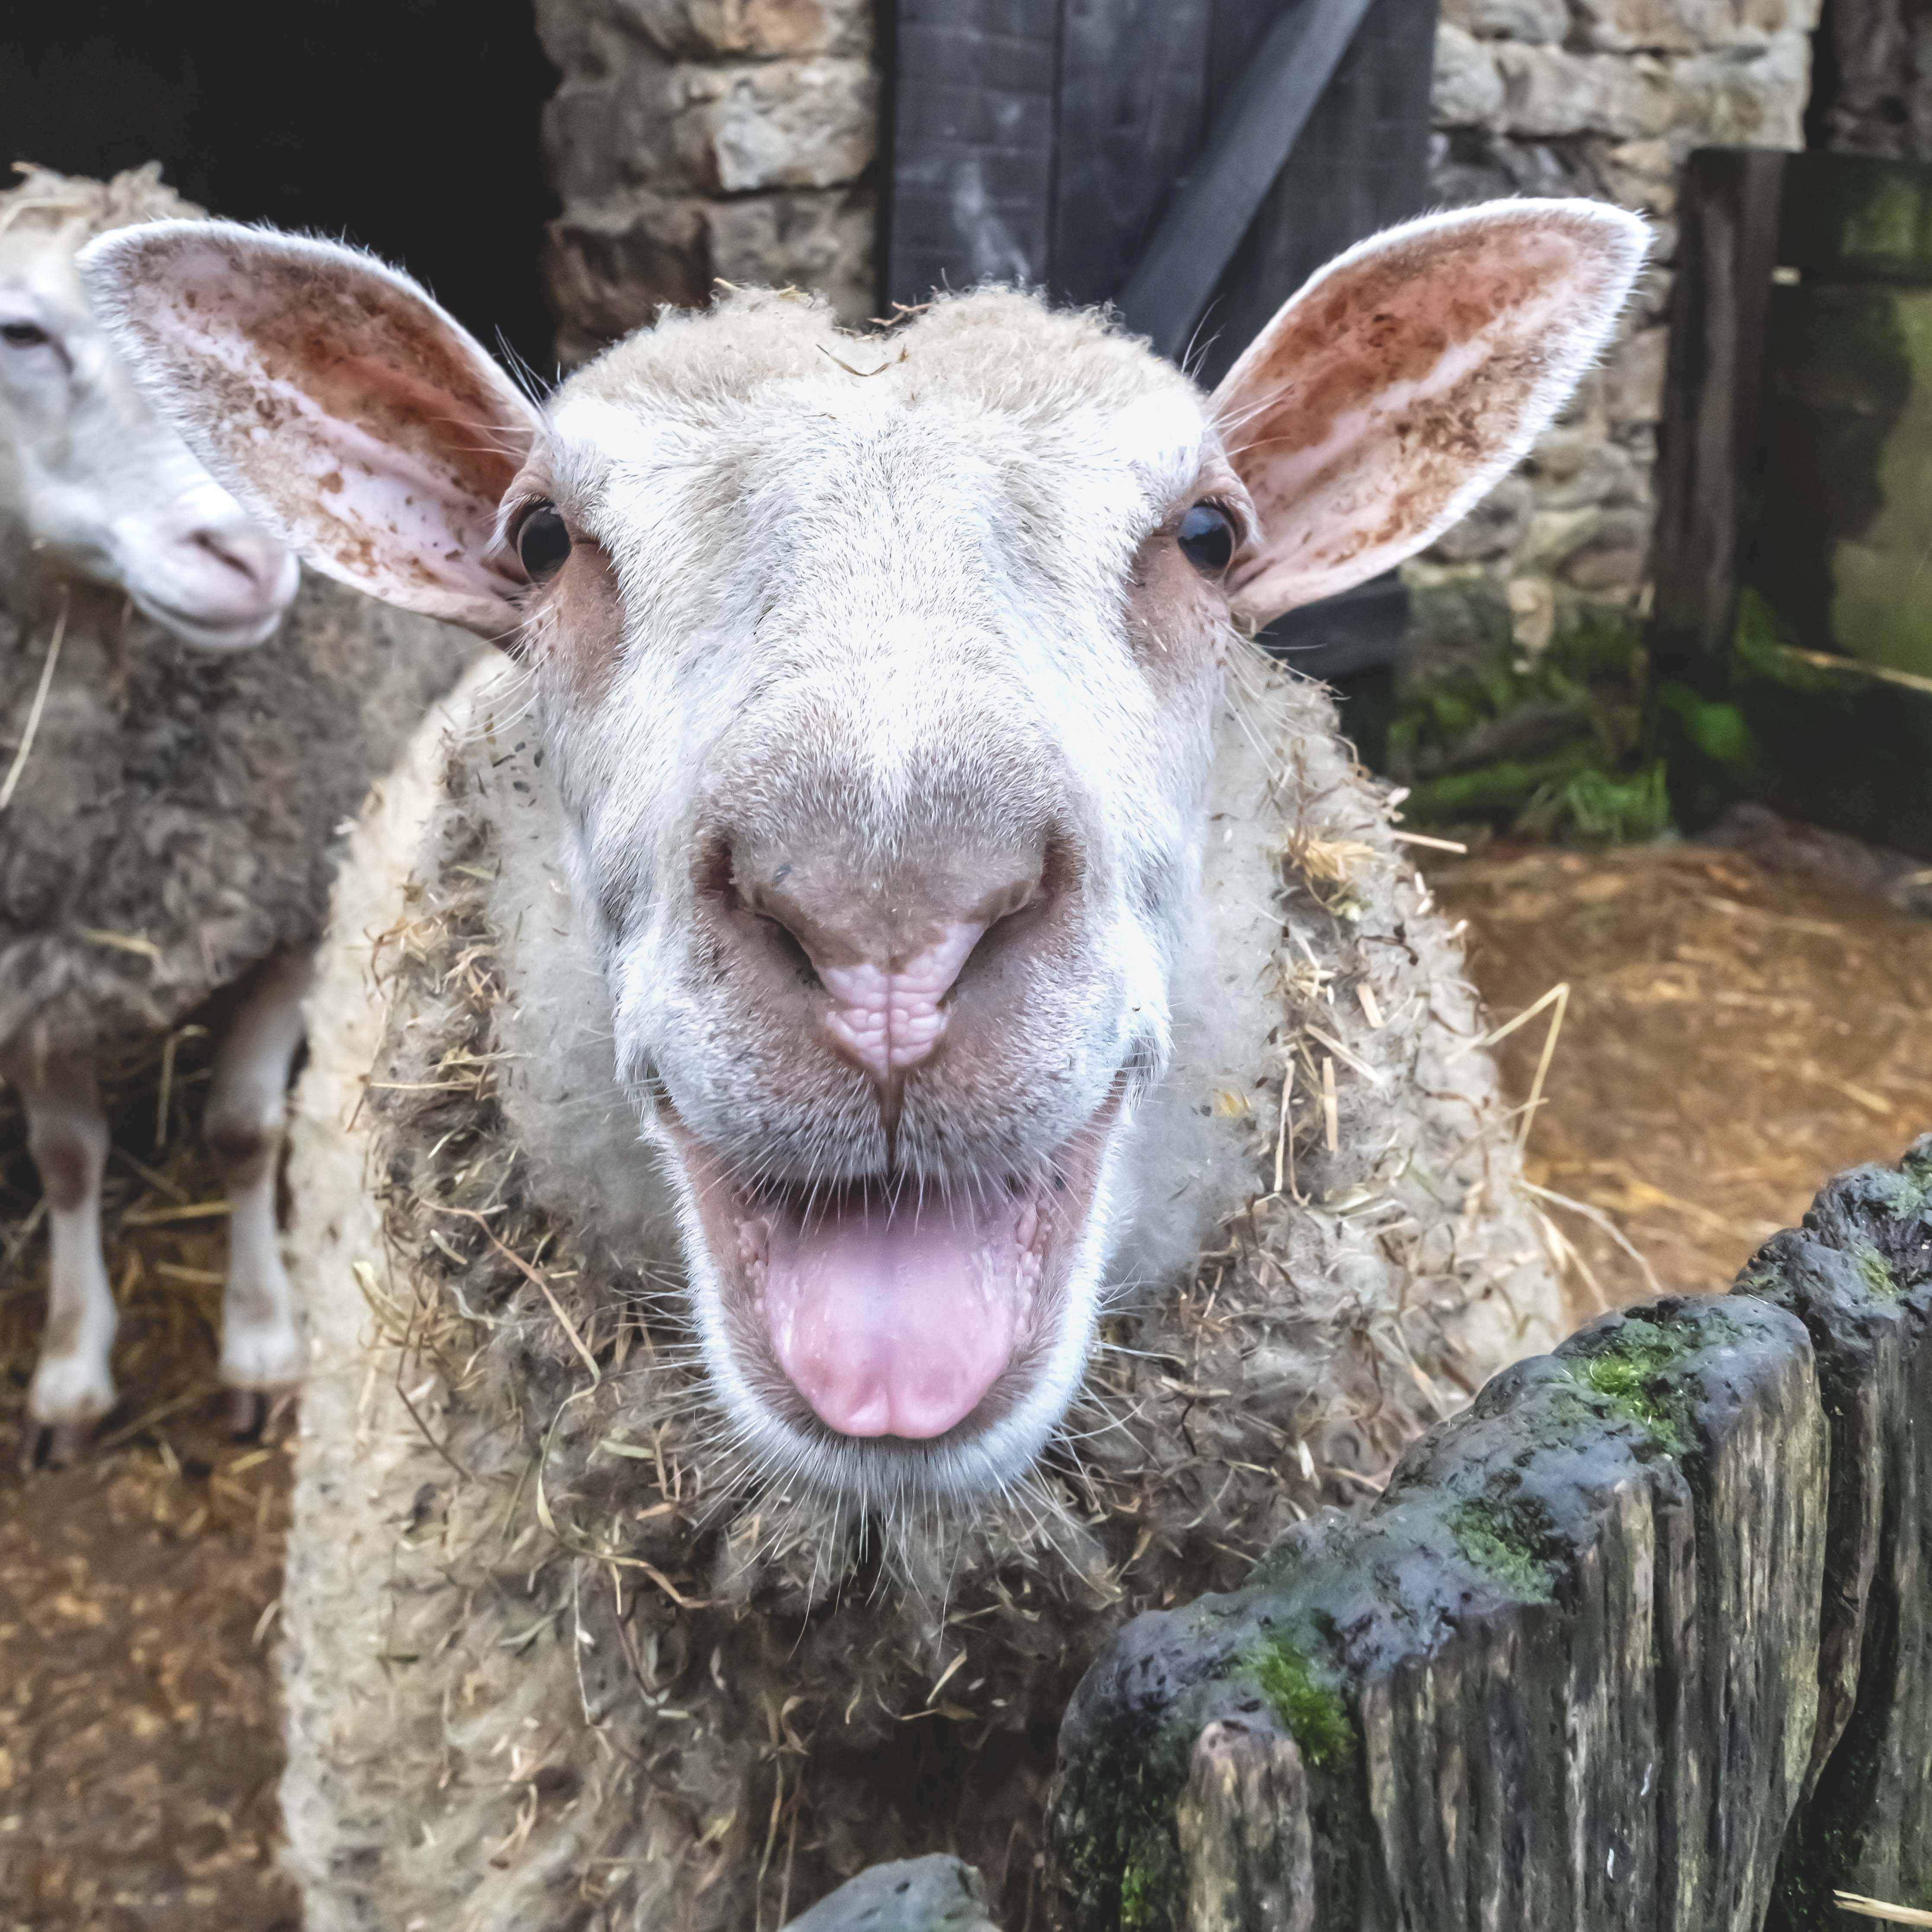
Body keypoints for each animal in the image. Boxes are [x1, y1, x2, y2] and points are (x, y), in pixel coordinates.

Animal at [0, 164, 474, 1461]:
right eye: (19, 333)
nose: (251, 558)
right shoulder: (35, 968)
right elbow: (65, 1160)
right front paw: (71, 1368)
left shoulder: (297, 915)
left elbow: (247, 1131)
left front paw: (262, 1346)